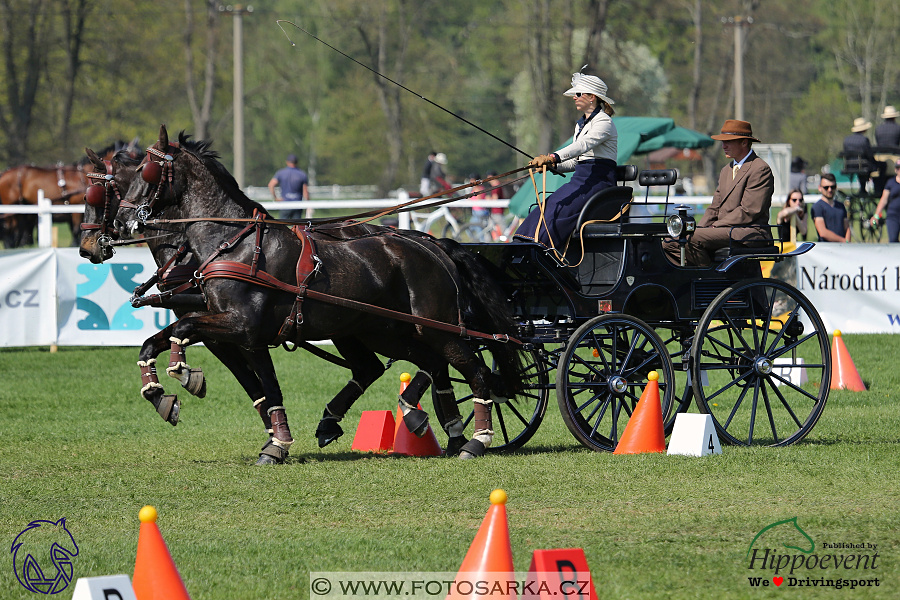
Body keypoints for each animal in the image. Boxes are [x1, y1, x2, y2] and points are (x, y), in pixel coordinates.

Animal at [81, 127, 524, 464]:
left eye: (148, 172)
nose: (93, 245)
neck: (229, 244)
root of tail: (430, 245)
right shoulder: (235, 332)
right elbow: (162, 345)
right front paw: (162, 395)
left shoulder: (239, 329)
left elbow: (192, 340)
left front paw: (186, 375)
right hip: (382, 330)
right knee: (413, 366)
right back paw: (435, 428)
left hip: (433, 328)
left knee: (474, 369)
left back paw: (474, 440)